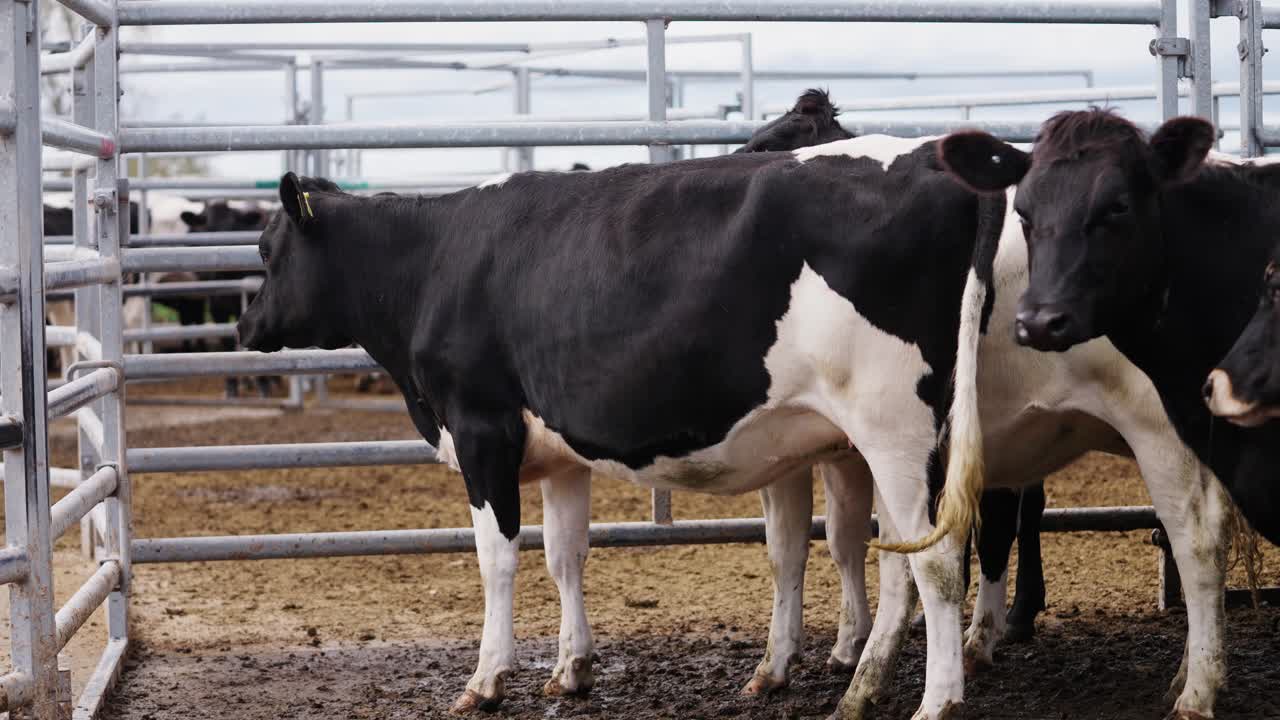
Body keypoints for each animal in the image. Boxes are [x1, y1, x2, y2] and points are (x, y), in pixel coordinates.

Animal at [239, 147, 1008, 720]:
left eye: (267, 249)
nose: (245, 326)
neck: (431, 264)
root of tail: (931, 163)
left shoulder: (482, 432)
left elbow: (498, 561)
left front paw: (485, 681)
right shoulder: (558, 458)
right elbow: (565, 557)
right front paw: (571, 669)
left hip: (895, 429)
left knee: (939, 561)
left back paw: (936, 701)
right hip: (884, 443)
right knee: (895, 559)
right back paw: (858, 688)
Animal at [932, 109, 1275, 720]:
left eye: (1117, 207)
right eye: (1023, 213)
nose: (1038, 321)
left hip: (1158, 434)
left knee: (1196, 540)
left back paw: (1195, 688)